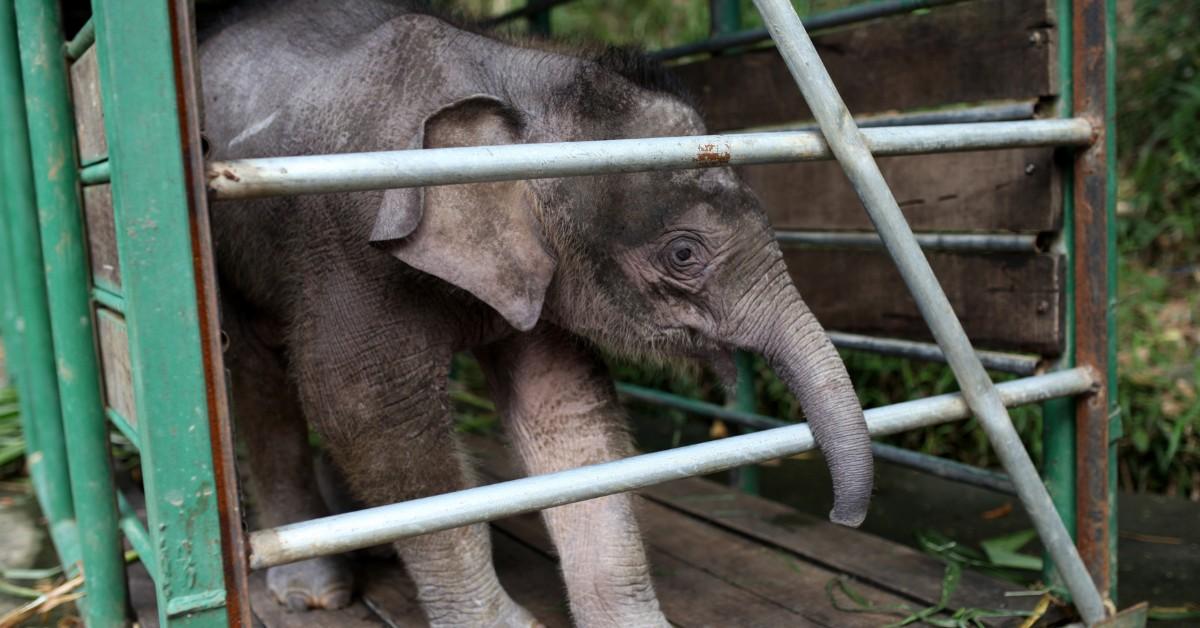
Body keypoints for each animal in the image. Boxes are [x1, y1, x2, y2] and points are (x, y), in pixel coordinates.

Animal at [196, 1, 873, 628]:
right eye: (684, 253)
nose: (842, 517)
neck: (513, 80)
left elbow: (564, 405)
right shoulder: (351, 255)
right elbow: (365, 409)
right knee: (256, 376)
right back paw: (313, 591)